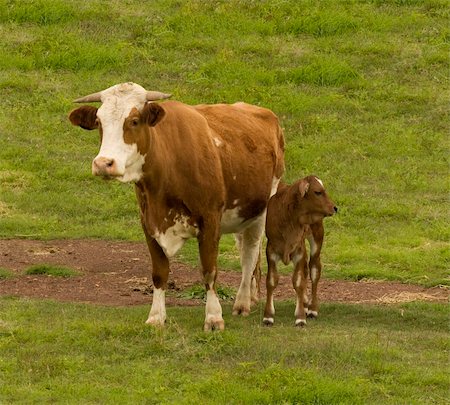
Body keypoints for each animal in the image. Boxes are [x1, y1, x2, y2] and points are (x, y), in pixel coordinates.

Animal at [68, 83, 284, 332]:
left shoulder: (210, 221)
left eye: (134, 121)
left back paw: (242, 303)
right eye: (99, 122)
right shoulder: (148, 223)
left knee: (250, 253)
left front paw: (213, 317)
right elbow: (159, 273)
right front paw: (156, 316)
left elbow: (209, 271)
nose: (103, 163)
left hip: (264, 207)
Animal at [262, 175, 336, 326]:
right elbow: (271, 281)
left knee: (314, 269)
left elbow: (298, 282)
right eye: (318, 192)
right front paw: (268, 316)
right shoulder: (271, 251)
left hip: (317, 236)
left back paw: (312, 309)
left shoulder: (298, 251)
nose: (334, 207)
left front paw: (300, 317)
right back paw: (305, 303)